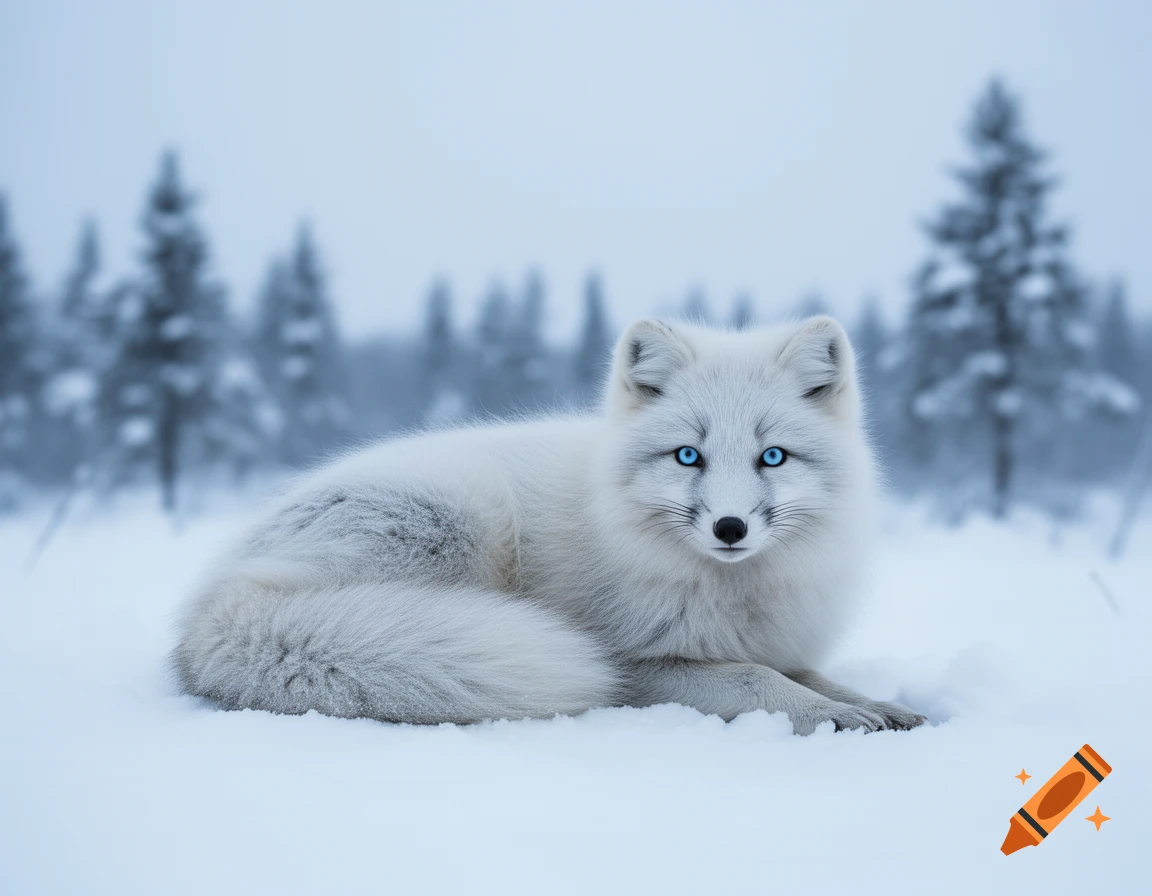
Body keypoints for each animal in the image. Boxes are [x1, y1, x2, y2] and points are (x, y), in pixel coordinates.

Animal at [172, 316, 926, 735]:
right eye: (689, 455)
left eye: (773, 456)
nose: (731, 528)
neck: (734, 592)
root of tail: (215, 603)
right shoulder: (639, 665)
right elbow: (754, 681)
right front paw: (831, 716)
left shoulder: (779, 644)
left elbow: (810, 675)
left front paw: (881, 707)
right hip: (461, 516)